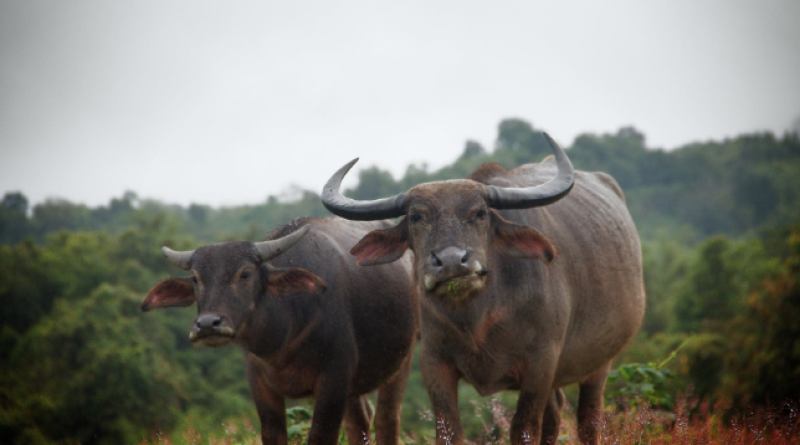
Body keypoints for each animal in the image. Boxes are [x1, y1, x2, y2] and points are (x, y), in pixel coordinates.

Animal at [140, 219, 418, 444]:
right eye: (196, 279)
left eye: (245, 274)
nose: (208, 325)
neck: (285, 337)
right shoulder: (260, 383)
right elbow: (272, 434)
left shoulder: (334, 378)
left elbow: (321, 435)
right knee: (359, 422)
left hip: (402, 359)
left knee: (386, 418)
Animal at [322, 133, 648, 444]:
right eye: (416, 217)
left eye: (479, 213)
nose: (452, 261)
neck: (478, 319)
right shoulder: (434, 362)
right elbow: (449, 431)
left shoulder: (541, 363)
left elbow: (524, 428)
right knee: (556, 412)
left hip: (600, 362)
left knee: (588, 420)